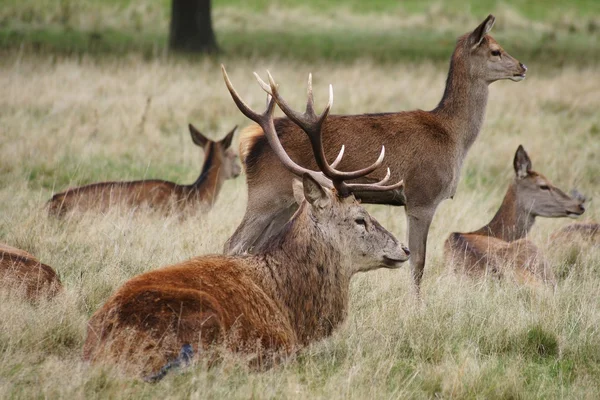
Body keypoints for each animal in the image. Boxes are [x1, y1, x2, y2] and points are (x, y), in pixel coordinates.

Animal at [220, 15, 524, 292]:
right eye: (495, 50)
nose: (522, 66)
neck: (453, 136)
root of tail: (251, 140)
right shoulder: (422, 196)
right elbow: (418, 263)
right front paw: (416, 307)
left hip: (290, 201)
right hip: (265, 192)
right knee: (233, 243)